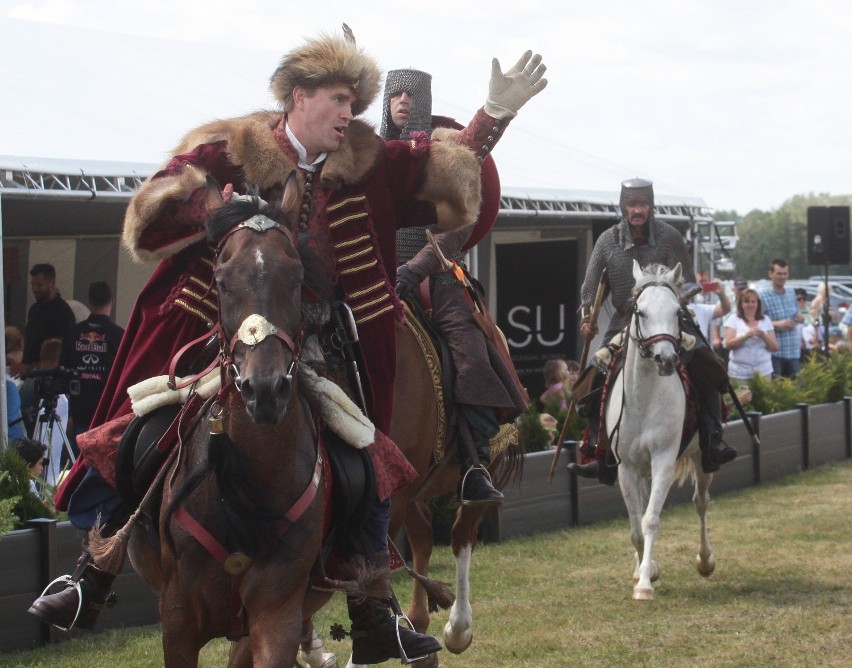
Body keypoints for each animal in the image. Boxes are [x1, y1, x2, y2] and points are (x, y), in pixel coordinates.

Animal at [604, 260, 720, 600]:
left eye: (678, 312)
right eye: (640, 312)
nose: (666, 359)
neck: (643, 399)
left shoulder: (664, 460)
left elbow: (650, 520)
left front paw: (644, 584)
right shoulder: (627, 467)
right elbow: (635, 527)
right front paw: (646, 570)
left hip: (701, 457)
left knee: (701, 502)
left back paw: (705, 560)